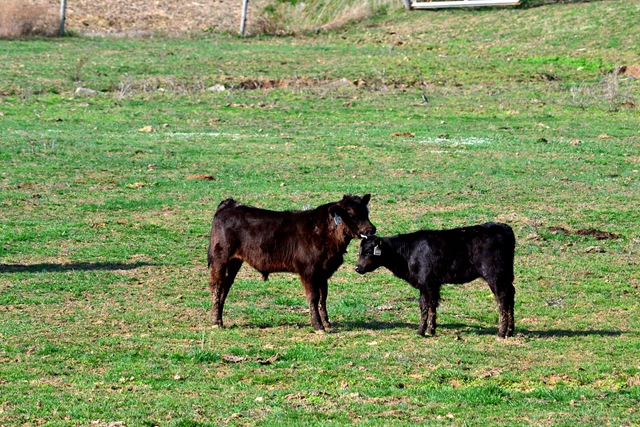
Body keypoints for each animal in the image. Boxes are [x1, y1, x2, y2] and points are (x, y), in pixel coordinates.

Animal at [207, 194, 376, 332]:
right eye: (351, 214)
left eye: (366, 212)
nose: (371, 229)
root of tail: (230, 204)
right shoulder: (309, 271)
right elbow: (313, 297)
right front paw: (318, 326)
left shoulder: (323, 272)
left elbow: (323, 298)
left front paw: (328, 324)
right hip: (221, 258)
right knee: (217, 286)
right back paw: (215, 322)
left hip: (234, 261)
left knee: (226, 286)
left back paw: (220, 320)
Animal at [354, 222, 516, 338]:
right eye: (360, 251)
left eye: (368, 252)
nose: (357, 267)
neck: (407, 252)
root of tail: (503, 227)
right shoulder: (432, 284)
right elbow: (432, 306)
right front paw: (430, 330)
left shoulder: (425, 283)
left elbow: (425, 306)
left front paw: (421, 331)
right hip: (505, 276)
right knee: (511, 295)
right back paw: (510, 331)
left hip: (494, 275)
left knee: (502, 298)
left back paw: (501, 332)